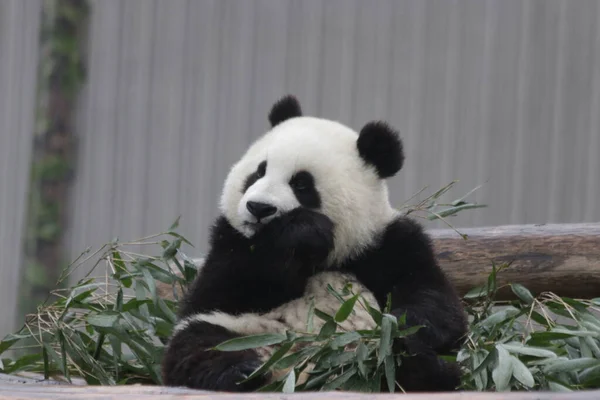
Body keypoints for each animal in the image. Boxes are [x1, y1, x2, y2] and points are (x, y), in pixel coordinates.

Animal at [161, 95, 468, 392]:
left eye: (301, 184)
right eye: (258, 172)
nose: (258, 207)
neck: (331, 256)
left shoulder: (387, 243)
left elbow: (436, 304)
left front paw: (399, 326)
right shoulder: (229, 240)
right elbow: (230, 287)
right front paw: (303, 231)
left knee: (417, 366)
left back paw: (410, 361)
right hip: (240, 331)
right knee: (199, 345)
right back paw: (243, 372)